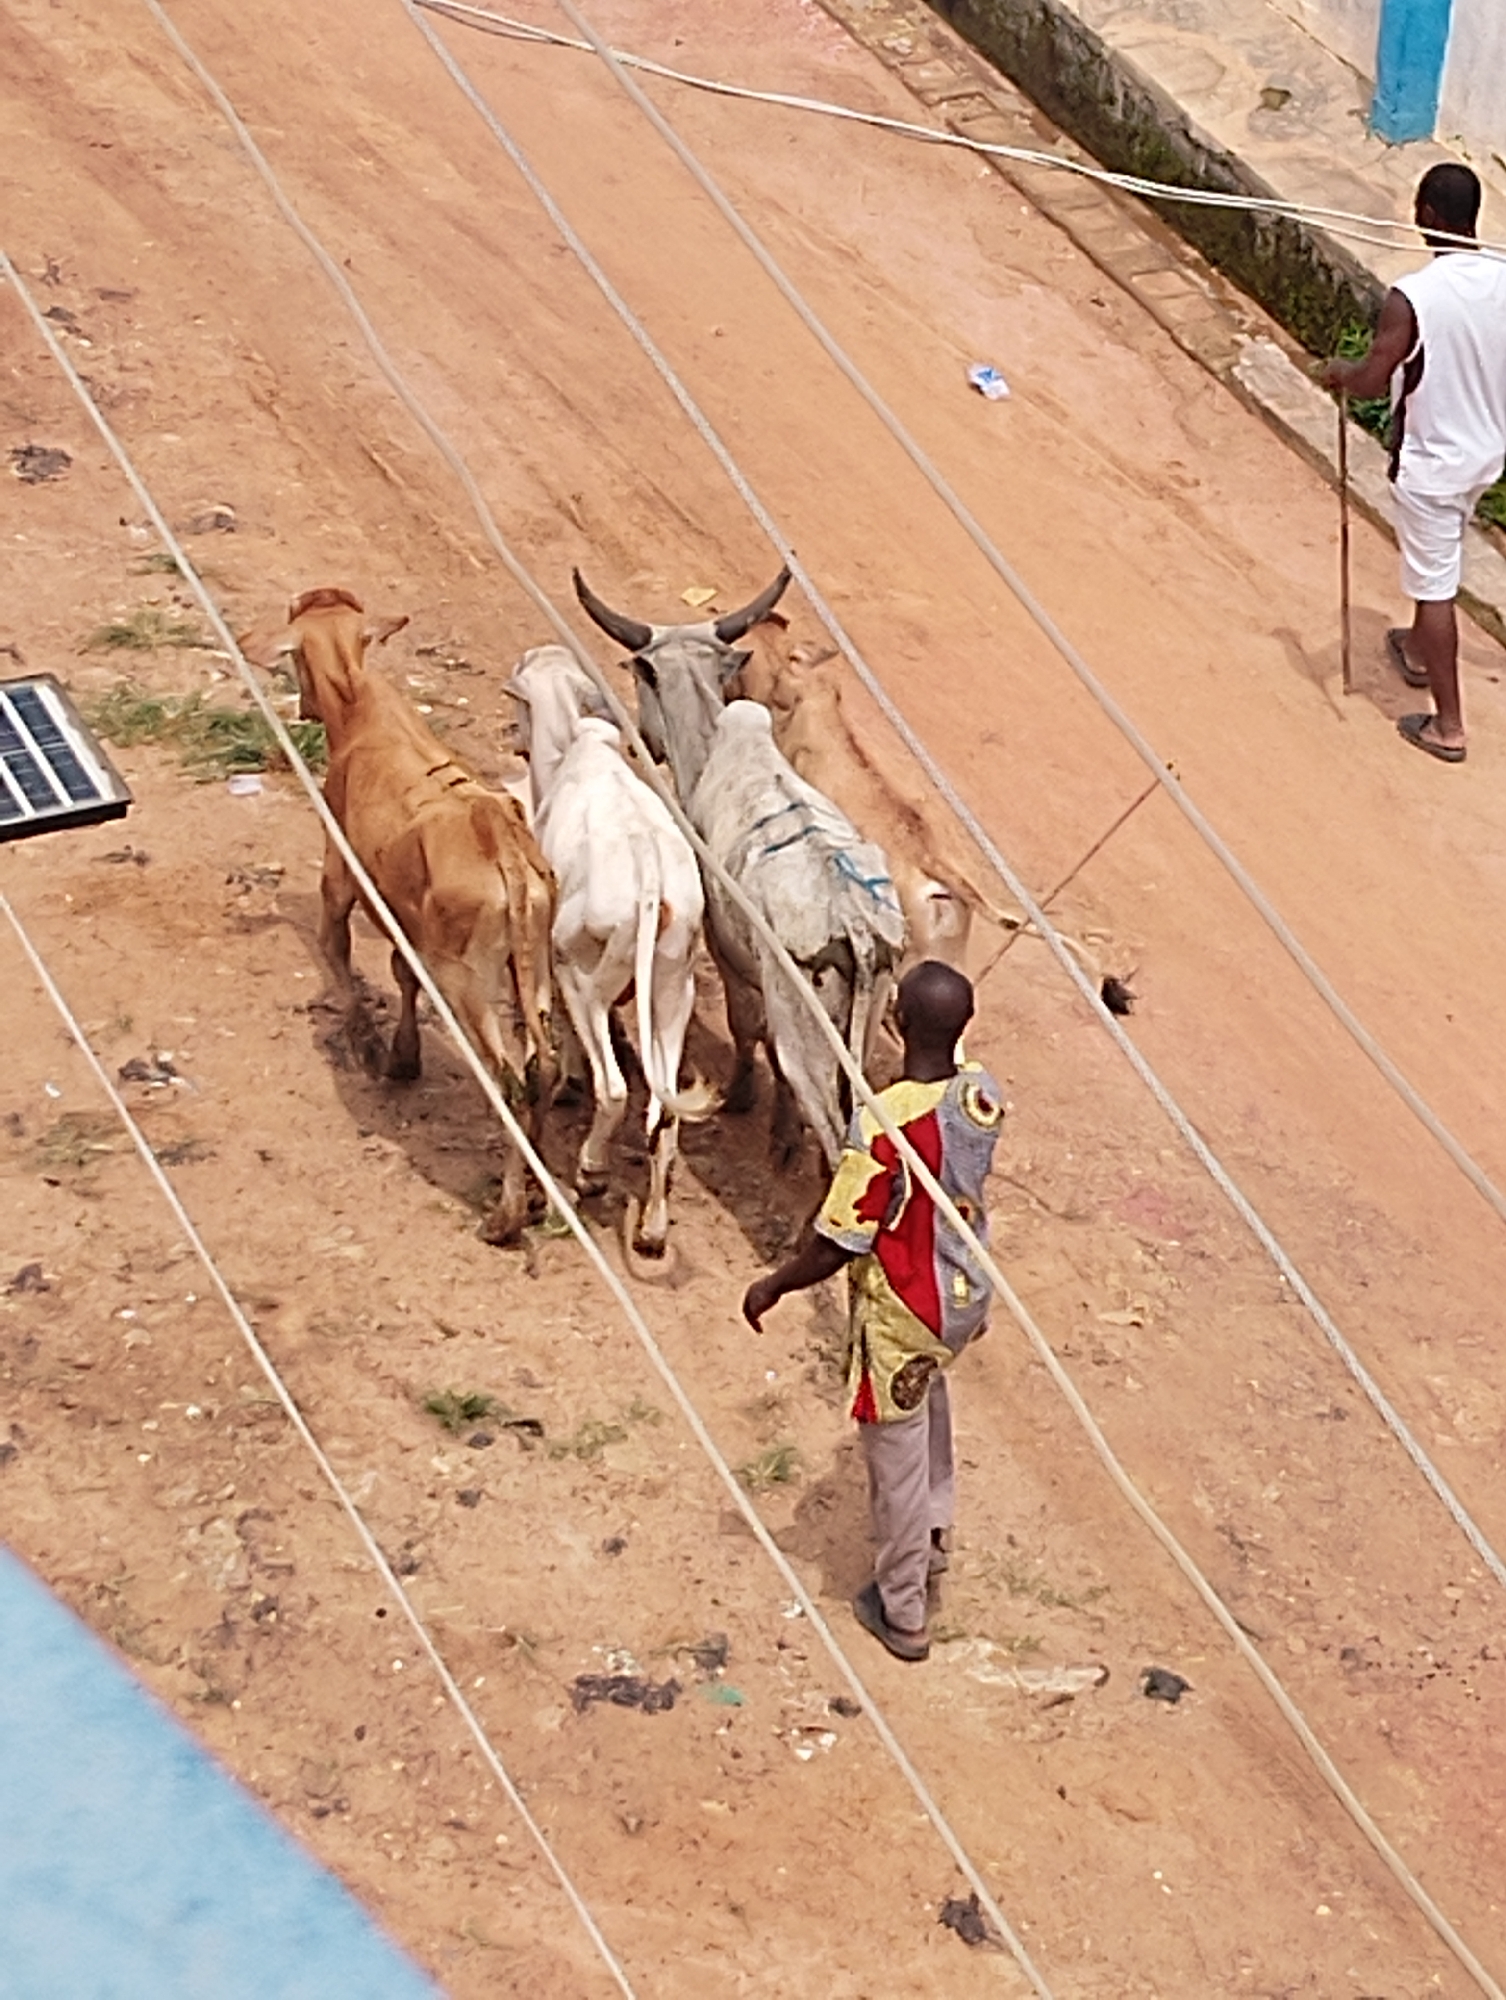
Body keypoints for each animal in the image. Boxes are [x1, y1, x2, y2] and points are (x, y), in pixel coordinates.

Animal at [243, 588, 555, 1247]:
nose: (303, 705)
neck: (361, 709)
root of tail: (503, 845)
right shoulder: (410, 925)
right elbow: (401, 973)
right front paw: (404, 1055)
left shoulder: (340, 871)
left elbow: (337, 949)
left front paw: (370, 1046)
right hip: (534, 967)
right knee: (546, 1067)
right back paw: (539, 1196)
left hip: (468, 981)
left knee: (510, 1079)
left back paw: (505, 1216)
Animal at [505, 645, 716, 1256]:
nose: (515, 740)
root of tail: (651, 884)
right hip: (674, 990)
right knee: (663, 1115)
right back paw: (652, 1230)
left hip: (583, 978)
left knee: (616, 1088)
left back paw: (590, 1171)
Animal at [573, 569, 906, 1169]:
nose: (642, 735)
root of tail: (861, 933)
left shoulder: (728, 953)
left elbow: (746, 1027)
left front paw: (746, 1102)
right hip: (861, 1033)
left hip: (809, 1038)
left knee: (833, 1131)